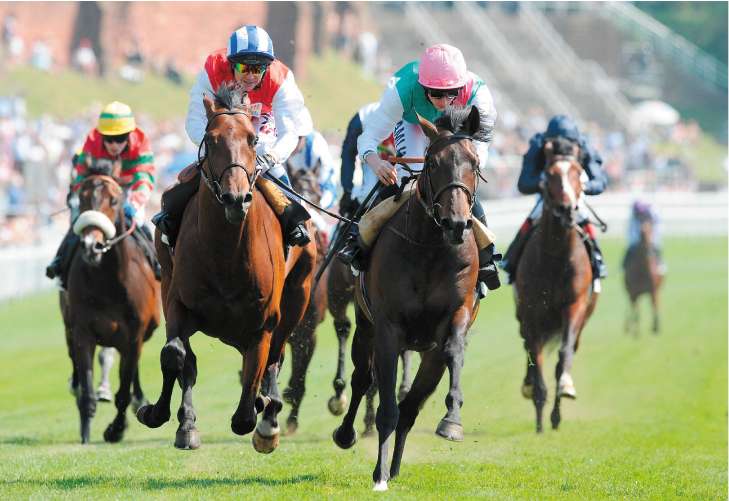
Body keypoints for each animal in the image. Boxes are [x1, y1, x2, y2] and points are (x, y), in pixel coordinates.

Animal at [62, 164, 159, 442]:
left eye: (114, 201)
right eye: (82, 198)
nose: (90, 245)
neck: (108, 284)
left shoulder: (134, 335)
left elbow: (124, 390)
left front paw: (115, 429)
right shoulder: (83, 332)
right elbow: (87, 391)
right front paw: (85, 434)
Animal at [136, 86, 316, 454]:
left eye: (252, 139)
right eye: (211, 138)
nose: (235, 198)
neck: (226, 254)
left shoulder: (265, 321)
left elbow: (250, 393)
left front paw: (261, 411)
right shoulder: (178, 302)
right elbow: (175, 355)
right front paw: (158, 413)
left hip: (298, 298)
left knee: (274, 358)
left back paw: (268, 418)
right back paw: (188, 424)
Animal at [512, 138, 596, 434]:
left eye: (579, 173)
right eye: (549, 174)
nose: (566, 210)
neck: (555, 256)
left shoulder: (574, 306)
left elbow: (563, 355)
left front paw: (559, 406)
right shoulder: (531, 312)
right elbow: (535, 356)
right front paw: (539, 414)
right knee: (528, 348)